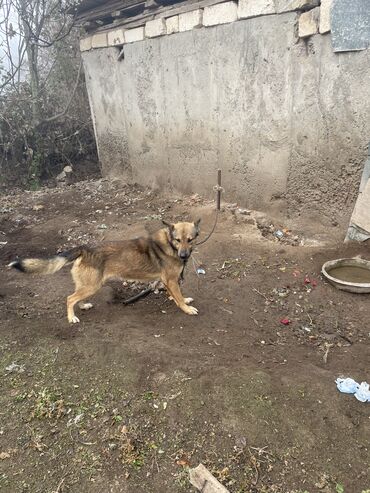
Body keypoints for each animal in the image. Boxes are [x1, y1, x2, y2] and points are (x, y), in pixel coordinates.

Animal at [8, 220, 201, 322]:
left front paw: (181, 300)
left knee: (76, 297)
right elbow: (178, 297)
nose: (184, 255)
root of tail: (84, 248)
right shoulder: (171, 280)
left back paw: (83, 306)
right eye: (178, 240)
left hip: (88, 285)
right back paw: (71, 318)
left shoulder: (169, 281)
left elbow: (176, 295)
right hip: (92, 286)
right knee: (70, 298)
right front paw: (186, 308)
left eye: (190, 240)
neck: (169, 244)